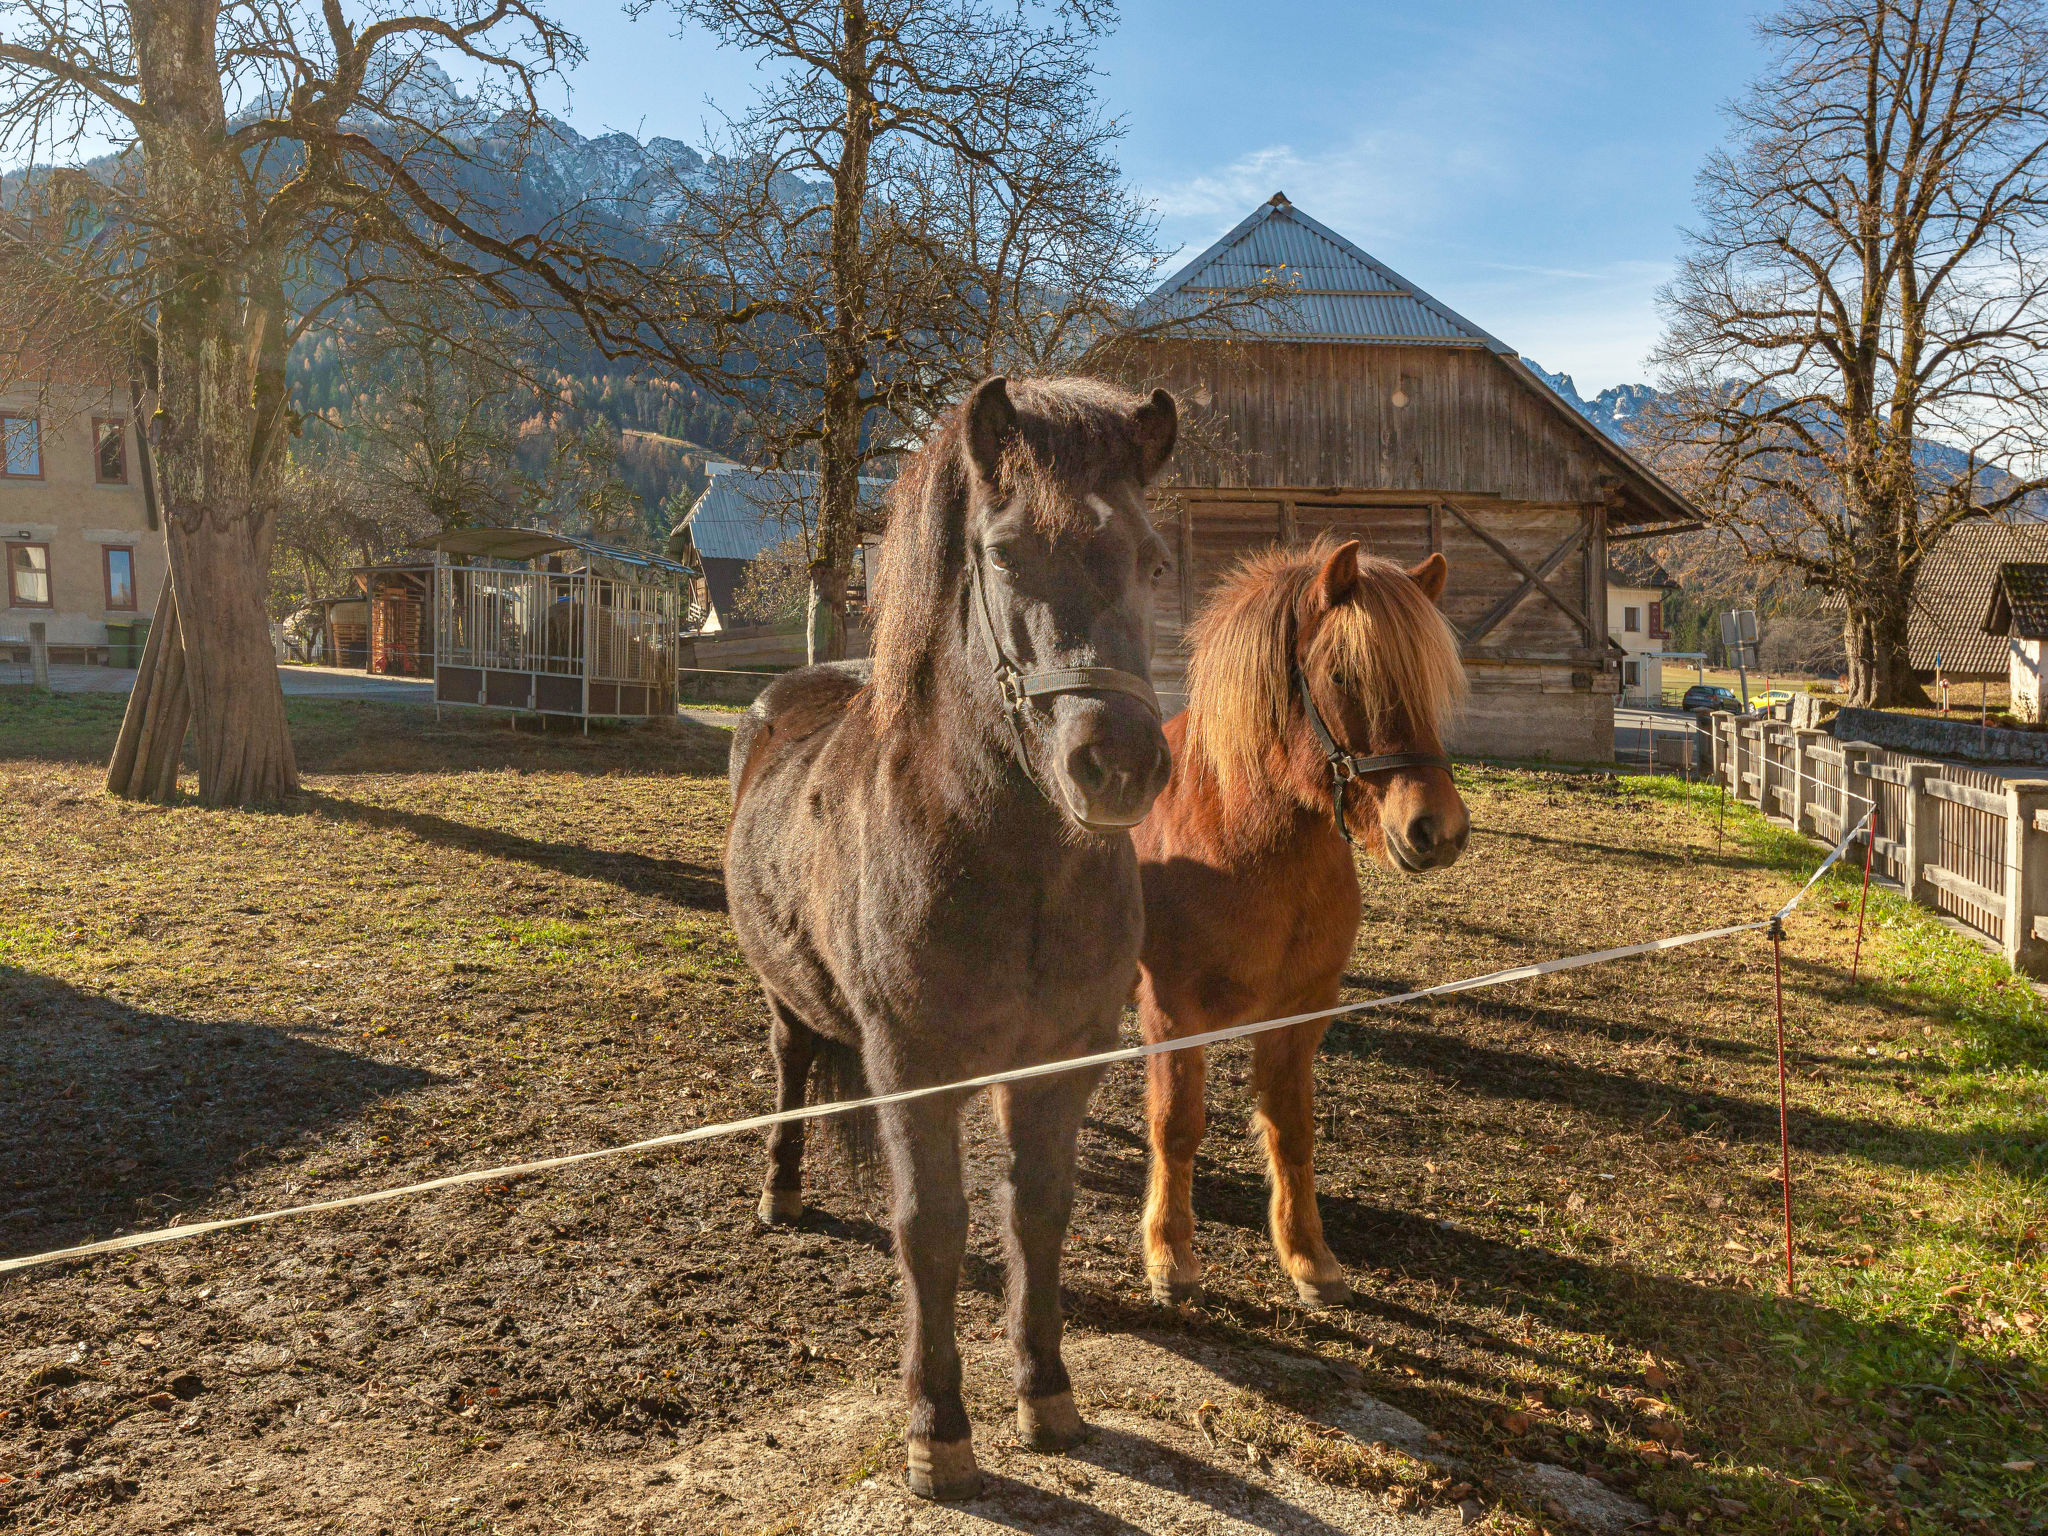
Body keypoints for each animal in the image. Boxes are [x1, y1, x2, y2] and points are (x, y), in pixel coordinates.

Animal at [724, 376, 1179, 1507]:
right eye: (1006, 554)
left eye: (1153, 561)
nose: (1117, 764)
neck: (1016, 870)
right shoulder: (912, 1064)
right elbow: (929, 1230)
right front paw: (938, 1428)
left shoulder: (1060, 1062)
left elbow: (1037, 1213)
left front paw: (1046, 1392)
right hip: (784, 997)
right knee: (790, 1067)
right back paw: (779, 1191)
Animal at [1130, 540, 1466, 1310]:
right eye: (1343, 675)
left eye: (1431, 679)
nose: (1437, 830)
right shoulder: (1171, 1014)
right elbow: (1176, 1125)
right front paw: (1170, 1256)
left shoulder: (1300, 1013)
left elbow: (1292, 1130)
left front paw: (1308, 1257)